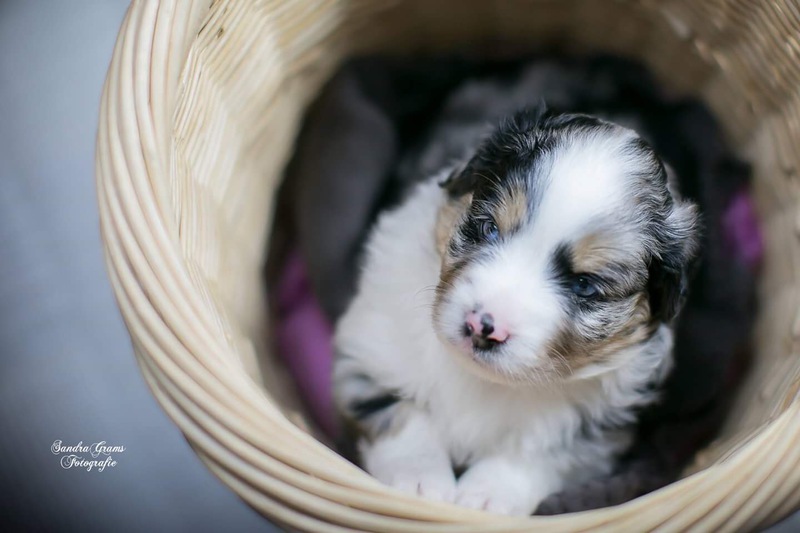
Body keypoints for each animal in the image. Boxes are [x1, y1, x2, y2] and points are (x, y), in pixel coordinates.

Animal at [333, 94, 700, 515]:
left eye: (584, 285)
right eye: (488, 228)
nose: (482, 326)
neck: (482, 381)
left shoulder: (599, 431)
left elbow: (540, 455)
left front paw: (486, 497)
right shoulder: (368, 351)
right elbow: (399, 413)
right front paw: (419, 482)